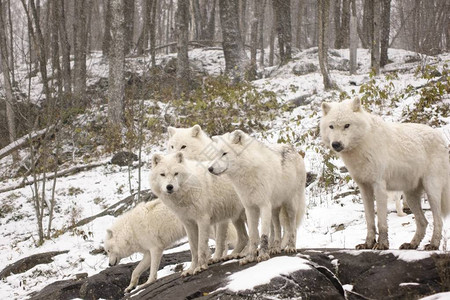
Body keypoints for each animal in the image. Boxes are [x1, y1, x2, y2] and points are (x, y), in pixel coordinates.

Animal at [207, 131, 306, 264]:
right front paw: (250, 257)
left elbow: (263, 235)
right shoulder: (250, 208)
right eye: (215, 155)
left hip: (290, 205)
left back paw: (291, 247)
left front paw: (263, 255)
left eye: (224, 153)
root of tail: (293, 149)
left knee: (292, 227)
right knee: (277, 228)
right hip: (274, 209)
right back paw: (275, 248)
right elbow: (253, 235)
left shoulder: (264, 205)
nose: (210, 169)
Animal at [320, 97, 450, 250]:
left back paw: (433, 245)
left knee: (438, 220)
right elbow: (369, 220)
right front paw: (368, 244)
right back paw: (411, 244)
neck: (362, 146)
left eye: (347, 125)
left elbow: (381, 221)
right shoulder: (364, 188)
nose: (336, 144)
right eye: (331, 126)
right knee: (423, 222)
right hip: (410, 196)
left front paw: (382, 244)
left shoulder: (379, 186)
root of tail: (441, 137)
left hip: (431, 191)